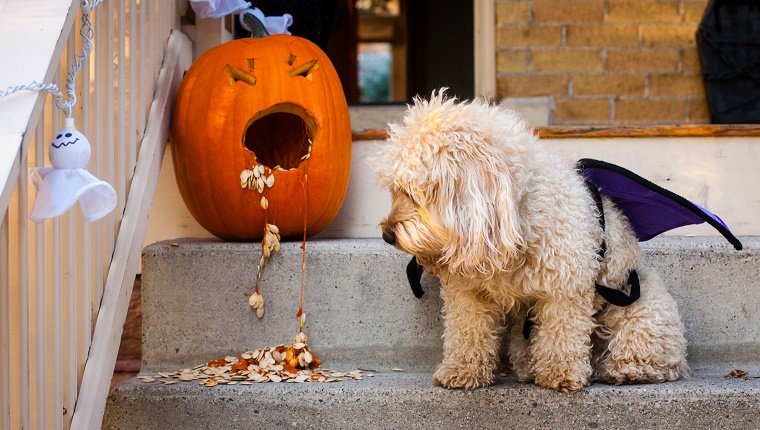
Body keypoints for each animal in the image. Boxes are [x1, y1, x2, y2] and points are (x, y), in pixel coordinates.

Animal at [372, 91, 692, 394]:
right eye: (395, 190)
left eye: (411, 192)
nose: (387, 234)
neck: (513, 217)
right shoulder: (469, 292)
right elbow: (468, 331)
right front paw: (462, 370)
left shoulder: (565, 288)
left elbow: (560, 334)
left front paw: (560, 374)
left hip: (643, 313)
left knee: (656, 356)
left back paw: (624, 369)